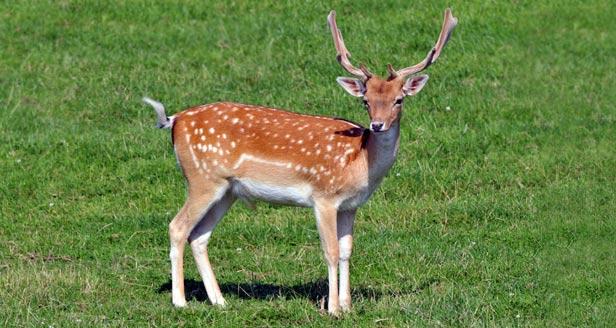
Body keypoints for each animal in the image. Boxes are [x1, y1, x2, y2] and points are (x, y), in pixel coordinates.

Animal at [142, 8, 454, 316]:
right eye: (365, 100)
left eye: (399, 100)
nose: (377, 125)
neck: (359, 161)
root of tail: (175, 120)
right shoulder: (324, 197)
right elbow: (329, 251)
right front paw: (333, 309)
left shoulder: (351, 205)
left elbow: (346, 251)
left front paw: (348, 305)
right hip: (202, 179)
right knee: (177, 227)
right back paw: (180, 301)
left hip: (227, 190)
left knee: (199, 236)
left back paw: (220, 301)